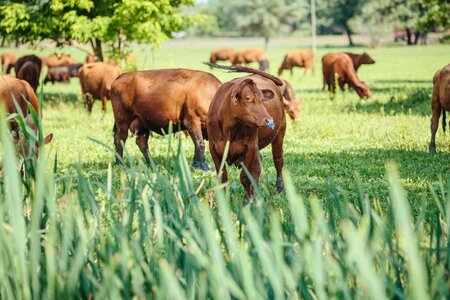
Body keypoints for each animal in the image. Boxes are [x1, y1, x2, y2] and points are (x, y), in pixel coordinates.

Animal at [207, 65, 286, 202]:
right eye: (248, 98)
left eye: (262, 99)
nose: (269, 120)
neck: (229, 130)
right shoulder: (213, 148)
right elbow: (223, 177)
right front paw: (223, 202)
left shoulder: (250, 147)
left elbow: (245, 177)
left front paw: (246, 201)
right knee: (257, 168)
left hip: (279, 134)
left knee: (278, 160)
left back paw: (279, 188)